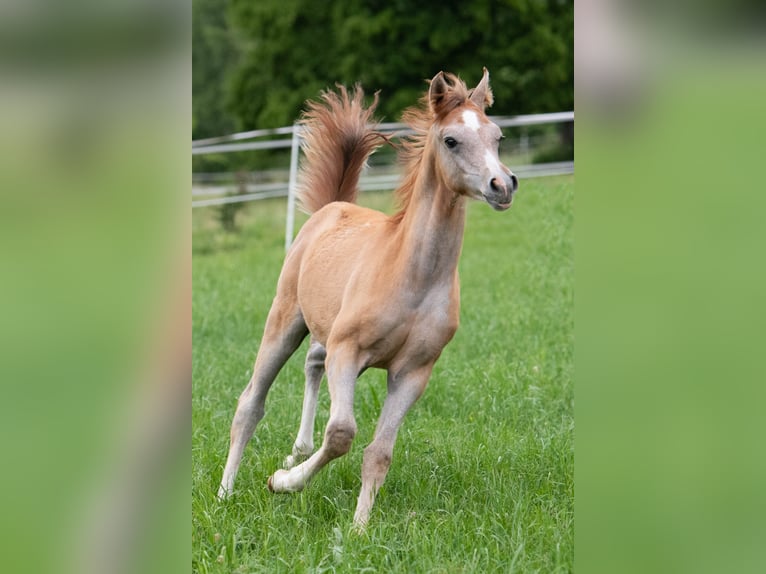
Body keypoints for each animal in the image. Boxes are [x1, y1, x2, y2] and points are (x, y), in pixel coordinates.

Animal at [217, 68, 518, 528]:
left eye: (497, 136)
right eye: (451, 140)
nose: (502, 185)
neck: (413, 277)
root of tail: (333, 207)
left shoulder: (413, 372)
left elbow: (378, 452)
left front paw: (360, 527)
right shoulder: (348, 351)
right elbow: (342, 433)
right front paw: (282, 482)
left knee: (313, 365)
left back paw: (297, 451)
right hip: (285, 321)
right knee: (251, 402)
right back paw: (226, 491)